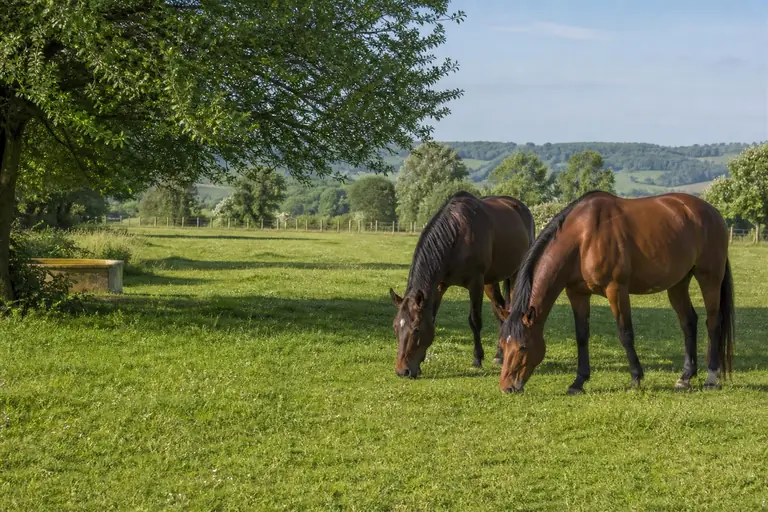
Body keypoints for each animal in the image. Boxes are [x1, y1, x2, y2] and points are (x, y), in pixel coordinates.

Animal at [389, 191, 535, 378]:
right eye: (395, 327)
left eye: (415, 329)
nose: (402, 371)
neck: (457, 235)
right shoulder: (440, 286)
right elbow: (432, 317)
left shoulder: (476, 283)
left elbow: (475, 320)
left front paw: (477, 359)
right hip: (491, 281)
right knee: (500, 310)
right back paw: (499, 354)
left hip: (515, 273)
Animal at [498, 191, 734, 394]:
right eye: (502, 345)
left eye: (522, 347)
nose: (507, 387)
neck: (583, 238)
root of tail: (712, 212)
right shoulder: (577, 294)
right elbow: (581, 336)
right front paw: (578, 382)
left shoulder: (616, 290)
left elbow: (625, 334)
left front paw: (636, 378)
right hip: (678, 283)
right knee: (688, 322)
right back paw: (685, 377)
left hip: (709, 279)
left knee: (713, 323)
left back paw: (711, 378)